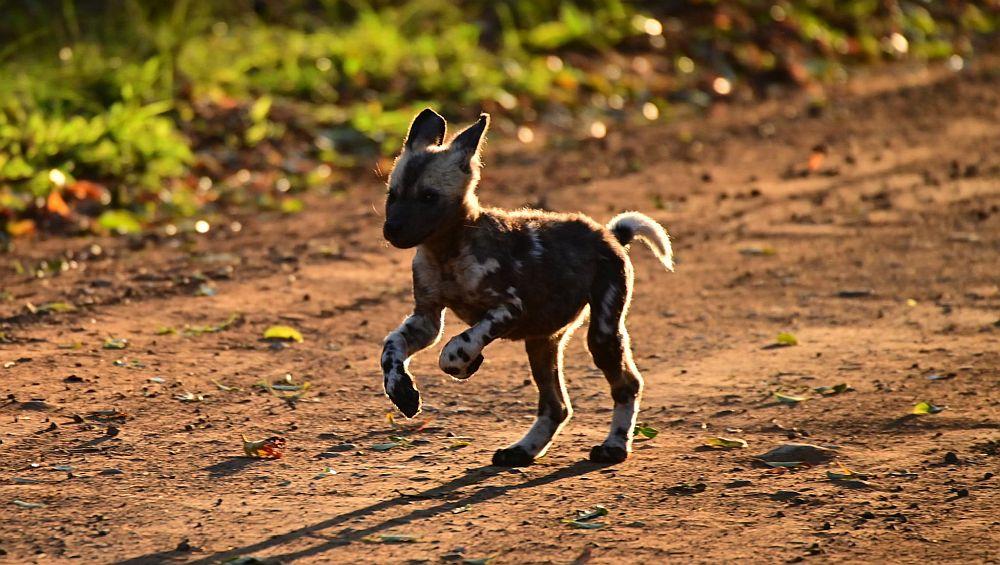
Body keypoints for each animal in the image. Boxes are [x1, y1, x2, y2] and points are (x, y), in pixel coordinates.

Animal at [378, 108, 676, 464]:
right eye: (392, 195)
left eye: (428, 197)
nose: (392, 229)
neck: (447, 252)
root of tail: (609, 234)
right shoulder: (426, 319)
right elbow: (391, 347)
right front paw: (402, 391)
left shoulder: (508, 309)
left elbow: (459, 345)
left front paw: (462, 362)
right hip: (542, 343)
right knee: (556, 407)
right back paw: (521, 451)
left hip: (602, 333)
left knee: (626, 385)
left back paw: (613, 447)